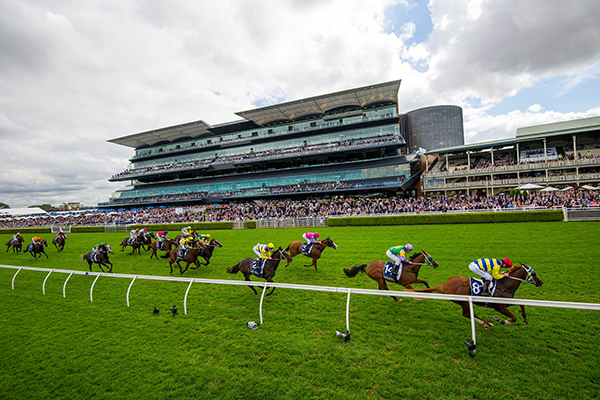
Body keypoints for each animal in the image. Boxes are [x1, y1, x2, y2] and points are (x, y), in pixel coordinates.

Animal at [412, 262, 544, 328]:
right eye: (534, 273)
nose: (541, 282)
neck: (505, 285)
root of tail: (445, 285)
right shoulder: (499, 306)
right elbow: (514, 318)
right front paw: (500, 320)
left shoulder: (506, 302)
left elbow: (521, 305)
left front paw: (525, 318)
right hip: (463, 301)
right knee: (466, 314)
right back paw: (487, 324)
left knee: (468, 314)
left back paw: (487, 323)